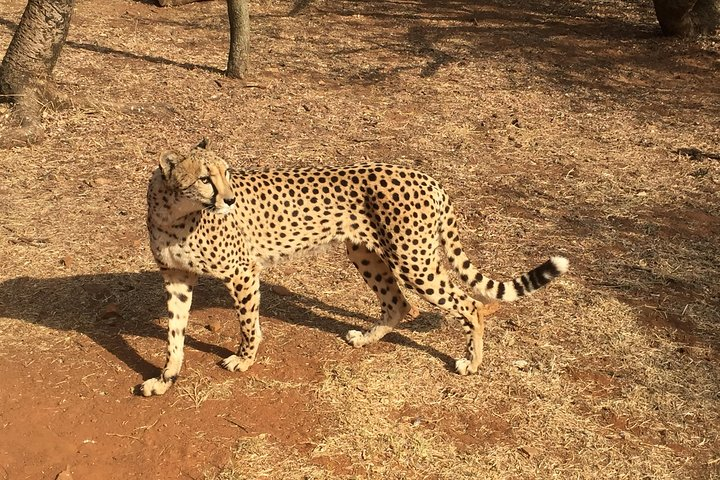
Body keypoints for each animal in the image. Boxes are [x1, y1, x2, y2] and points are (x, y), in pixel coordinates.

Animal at [139, 139, 569, 397]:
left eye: (227, 173)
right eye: (204, 178)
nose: (229, 199)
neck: (176, 212)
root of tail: (428, 177)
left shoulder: (242, 272)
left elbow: (247, 324)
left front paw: (244, 359)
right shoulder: (176, 278)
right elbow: (175, 334)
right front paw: (164, 378)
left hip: (415, 261)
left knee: (471, 305)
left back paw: (472, 362)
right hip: (366, 253)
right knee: (400, 304)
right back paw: (365, 339)